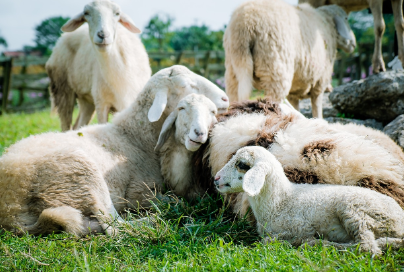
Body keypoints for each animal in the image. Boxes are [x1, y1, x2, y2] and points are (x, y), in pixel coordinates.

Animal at [0, 65, 229, 236]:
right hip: (80, 172)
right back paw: (151, 221)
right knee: (114, 226)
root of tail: (10, 212)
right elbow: (175, 201)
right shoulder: (138, 192)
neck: (134, 135)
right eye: (186, 85)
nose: (226, 99)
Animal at [47, 0, 152, 132]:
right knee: (66, 125)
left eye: (117, 13)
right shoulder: (101, 103)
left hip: (86, 99)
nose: (103, 35)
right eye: (86, 13)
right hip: (63, 90)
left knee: (78, 125)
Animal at [215, 147, 404, 255]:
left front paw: (301, 241)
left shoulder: (297, 227)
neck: (280, 201)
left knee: (367, 247)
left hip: (356, 210)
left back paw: (319, 243)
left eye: (242, 164)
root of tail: (400, 219)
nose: (216, 178)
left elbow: (270, 240)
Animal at [224, 0, 356, 119]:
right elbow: (317, 107)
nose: (353, 44)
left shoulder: (295, 91)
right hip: (275, 67)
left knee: (235, 96)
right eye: (346, 18)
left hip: (234, 68)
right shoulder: (320, 80)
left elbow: (296, 106)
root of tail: (244, 24)